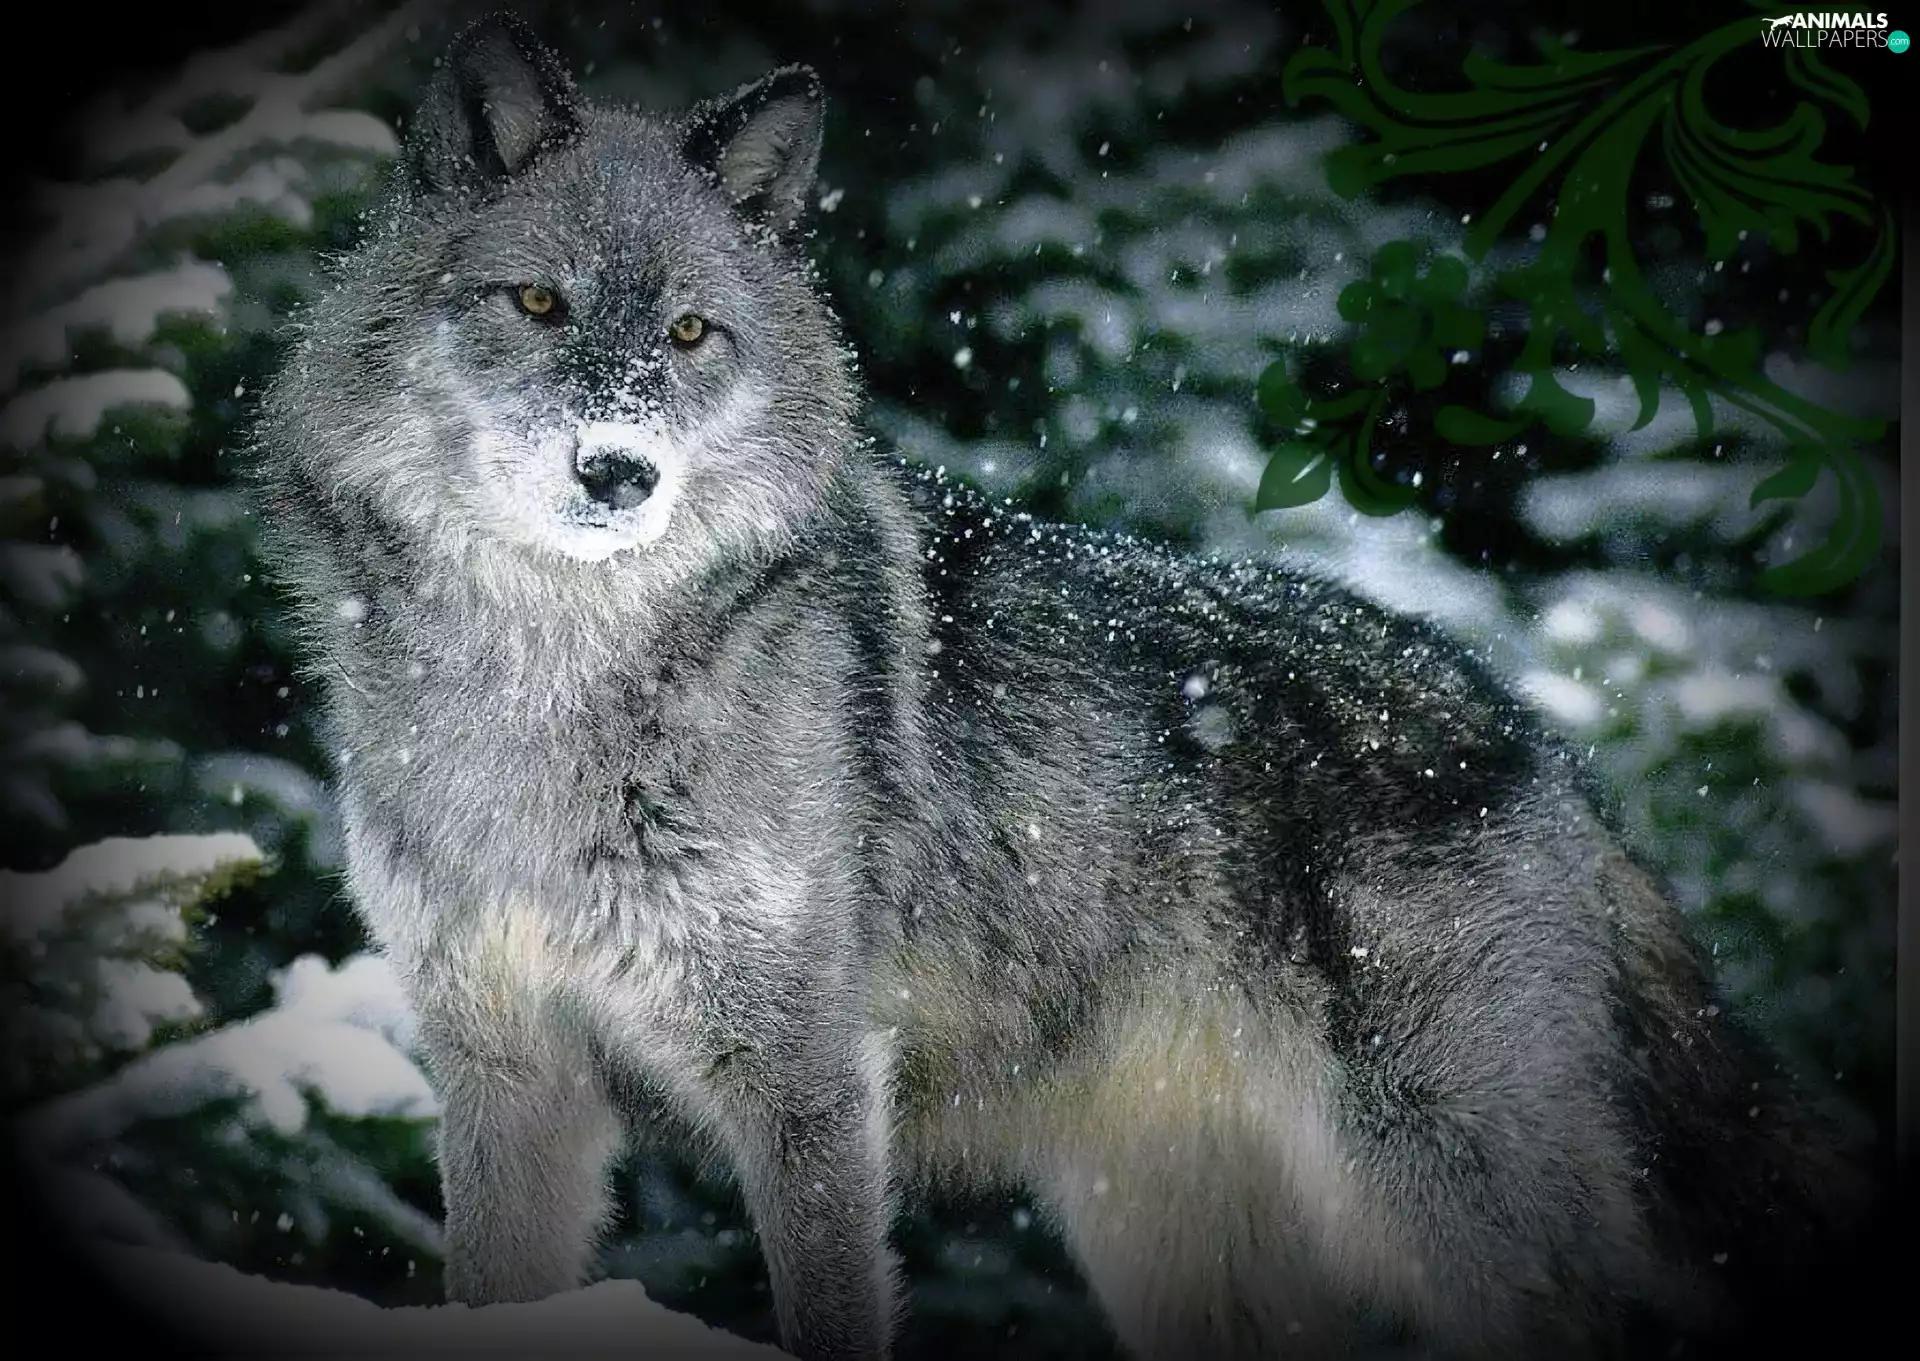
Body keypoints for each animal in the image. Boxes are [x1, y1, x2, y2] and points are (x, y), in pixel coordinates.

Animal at [253, 13, 1878, 1361]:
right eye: (535, 301)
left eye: (692, 333)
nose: (619, 471)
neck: (545, 681)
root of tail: (1543, 736)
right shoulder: (504, 1070)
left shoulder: (807, 1075)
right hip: (1172, 1239)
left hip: (1442, 1192)